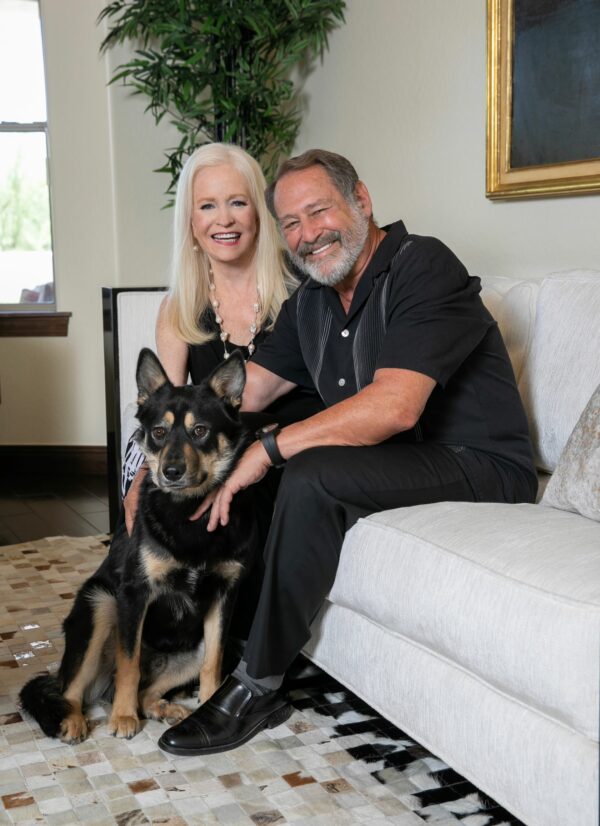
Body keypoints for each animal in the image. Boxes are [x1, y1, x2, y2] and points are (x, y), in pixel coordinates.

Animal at [18, 344, 258, 744]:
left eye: (200, 431)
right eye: (159, 432)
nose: (170, 472)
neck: (188, 512)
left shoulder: (224, 595)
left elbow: (214, 664)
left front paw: (209, 706)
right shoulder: (134, 593)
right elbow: (128, 664)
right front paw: (123, 718)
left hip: (189, 646)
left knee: (148, 688)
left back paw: (164, 708)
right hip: (100, 605)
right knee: (76, 688)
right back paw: (76, 720)